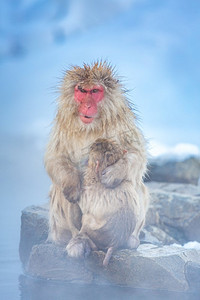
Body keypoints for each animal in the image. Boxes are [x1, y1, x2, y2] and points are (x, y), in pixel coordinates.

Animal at [45, 60, 148, 264]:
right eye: (81, 90)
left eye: (94, 91)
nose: (86, 106)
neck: (89, 127)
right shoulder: (63, 125)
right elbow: (55, 157)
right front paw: (72, 184)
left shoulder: (121, 123)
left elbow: (136, 154)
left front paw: (114, 173)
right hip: (59, 229)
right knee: (63, 191)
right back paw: (78, 240)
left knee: (131, 183)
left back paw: (129, 240)